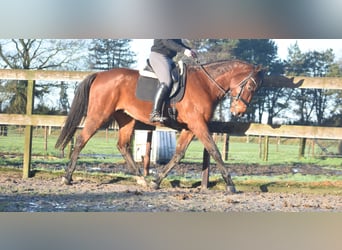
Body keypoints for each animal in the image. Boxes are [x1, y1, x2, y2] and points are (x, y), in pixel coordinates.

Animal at [54, 59, 264, 192]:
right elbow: (214, 151)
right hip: (99, 114)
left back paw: (142, 179)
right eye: (251, 87)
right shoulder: (198, 125)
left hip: (126, 118)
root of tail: (100, 75)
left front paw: (156, 181)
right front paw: (230, 184)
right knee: (81, 140)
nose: (239, 111)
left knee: (122, 145)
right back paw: (67, 177)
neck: (205, 84)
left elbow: (178, 154)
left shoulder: (191, 127)